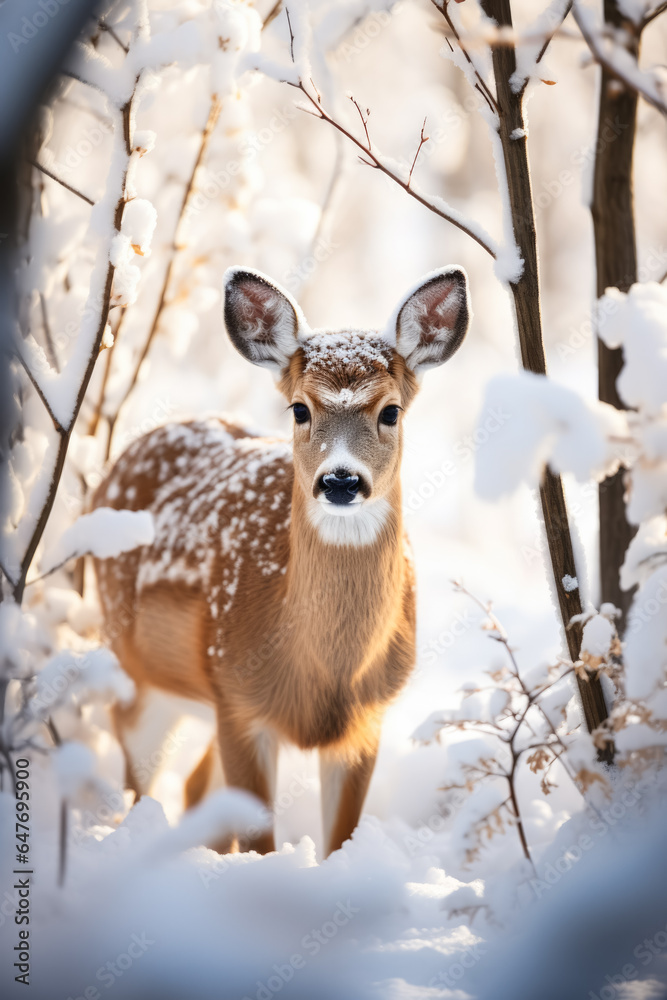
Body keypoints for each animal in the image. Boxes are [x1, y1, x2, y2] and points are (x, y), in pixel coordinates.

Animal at [92, 265, 470, 857]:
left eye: (390, 411)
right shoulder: (241, 701)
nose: (341, 480)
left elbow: (341, 841)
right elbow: (259, 845)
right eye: (299, 408)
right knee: (141, 790)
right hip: (139, 675)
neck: (323, 675)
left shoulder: (365, 719)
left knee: (195, 788)